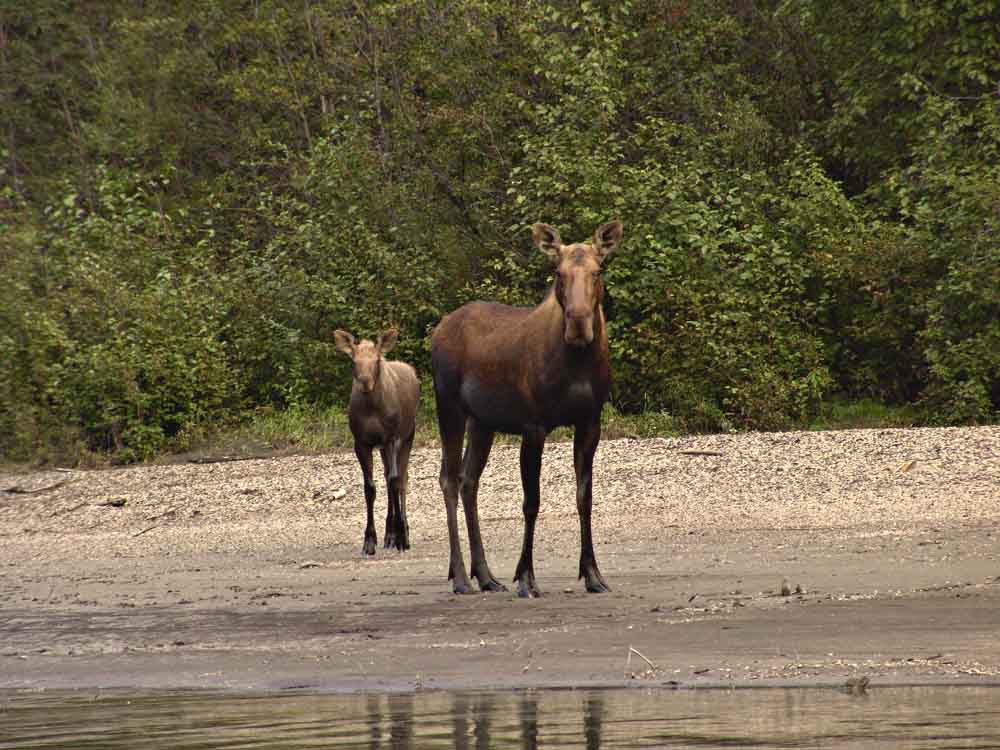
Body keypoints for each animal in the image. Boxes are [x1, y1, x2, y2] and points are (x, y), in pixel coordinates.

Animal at [332, 332, 418, 556]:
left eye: (377, 360)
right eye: (354, 360)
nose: (365, 381)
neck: (372, 408)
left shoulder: (392, 438)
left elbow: (395, 480)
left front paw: (401, 537)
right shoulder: (361, 442)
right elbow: (369, 488)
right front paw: (370, 540)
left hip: (408, 436)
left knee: (401, 478)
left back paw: (403, 533)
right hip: (382, 447)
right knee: (389, 477)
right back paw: (389, 535)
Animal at [432, 219, 620, 600]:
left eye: (597, 271)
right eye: (559, 273)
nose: (578, 323)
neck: (577, 364)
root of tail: (435, 330)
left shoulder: (590, 421)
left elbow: (584, 498)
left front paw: (593, 574)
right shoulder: (534, 426)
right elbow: (531, 502)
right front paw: (526, 577)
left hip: (482, 421)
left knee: (468, 480)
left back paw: (486, 575)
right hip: (449, 406)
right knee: (447, 479)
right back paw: (460, 577)